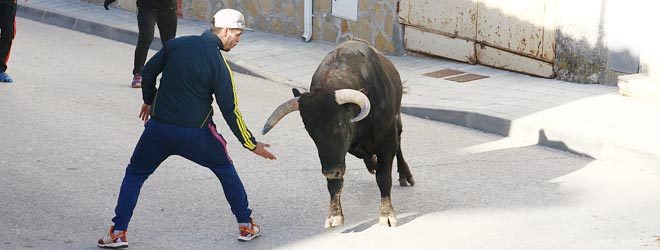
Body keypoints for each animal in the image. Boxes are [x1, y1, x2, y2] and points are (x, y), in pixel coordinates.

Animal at [262, 40, 412, 228]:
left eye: (338, 124)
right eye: (309, 131)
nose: (330, 171)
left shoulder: (387, 140)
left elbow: (384, 177)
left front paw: (387, 214)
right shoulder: (336, 156)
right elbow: (335, 184)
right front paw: (334, 215)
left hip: (396, 123)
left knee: (399, 143)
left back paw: (405, 175)